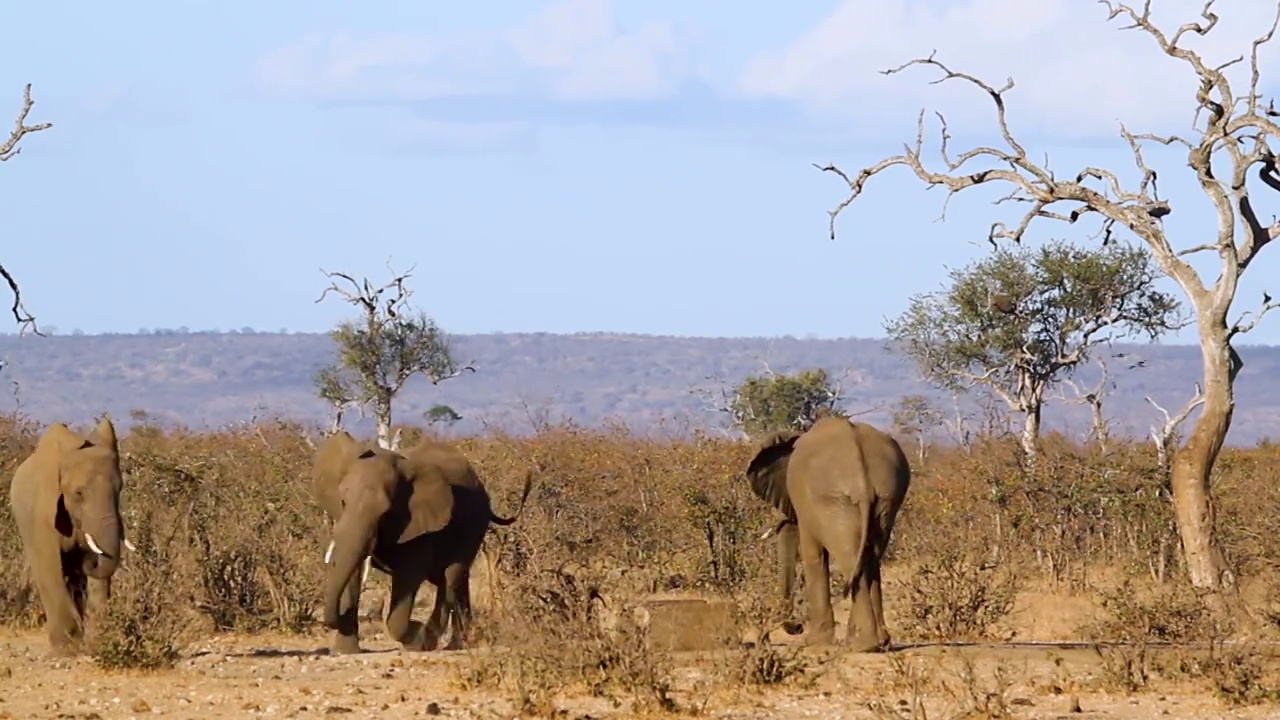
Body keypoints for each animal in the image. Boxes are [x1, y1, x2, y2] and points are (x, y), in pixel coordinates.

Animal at [5, 415, 137, 655]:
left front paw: (98, 640)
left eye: (120, 489)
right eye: (79, 493)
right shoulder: (43, 513)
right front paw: (67, 649)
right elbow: (51, 567)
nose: (89, 563)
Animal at [314, 427, 535, 653]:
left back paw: (436, 641)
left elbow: (409, 575)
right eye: (342, 501)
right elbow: (352, 573)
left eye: (386, 512)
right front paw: (347, 652)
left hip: (473, 529)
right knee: (457, 581)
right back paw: (457, 644)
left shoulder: (421, 526)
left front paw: (417, 636)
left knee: (451, 577)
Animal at [747, 409, 916, 650]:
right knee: (871, 555)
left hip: (834, 500)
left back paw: (862, 645)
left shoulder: (808, 501)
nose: (795, 627)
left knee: (849, 555)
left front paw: (815, 643)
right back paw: (876, 643)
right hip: (887, 496)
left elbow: (813, 555)